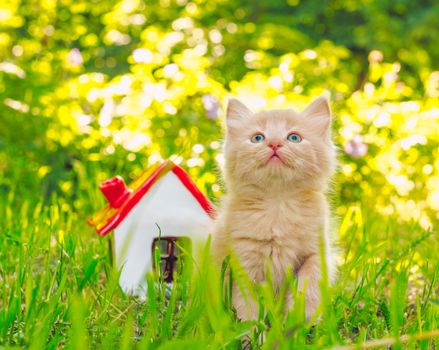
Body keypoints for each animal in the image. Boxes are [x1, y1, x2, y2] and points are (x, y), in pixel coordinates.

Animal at [211, 97, 338, 322]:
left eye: (294, 137)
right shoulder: (243, 262)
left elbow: (309, 284)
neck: (279, 204)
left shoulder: (317, 253)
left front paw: (300, 320)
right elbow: (247, 304)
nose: (274, 144)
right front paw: (251, 329)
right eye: (258, 138)